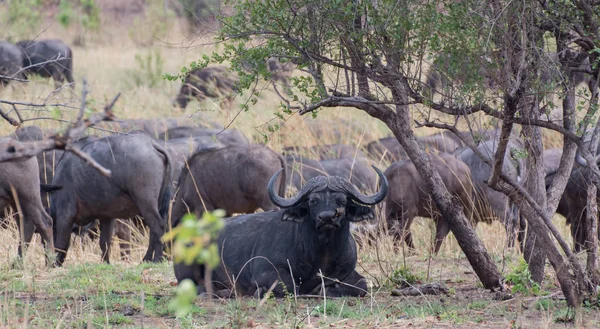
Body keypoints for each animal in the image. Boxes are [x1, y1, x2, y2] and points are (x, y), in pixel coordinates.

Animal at [50, 133, 172, 264]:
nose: (50, 260)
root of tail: (151, 145)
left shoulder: (65, 215)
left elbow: (61, 242)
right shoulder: (107, 217)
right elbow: (105, 242)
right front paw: (105, 262)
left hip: (146, 204)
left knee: (158, 227)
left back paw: (157, 259)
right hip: (159, 204)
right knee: (156, 231)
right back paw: (146, 259)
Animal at [173, 165, 390, 296]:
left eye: (342, 201)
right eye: (313, 201)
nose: (327, 217)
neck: (322, 254)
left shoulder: (348, 271)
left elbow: (361, 285)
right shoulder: (266, 271)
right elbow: (290, 286)